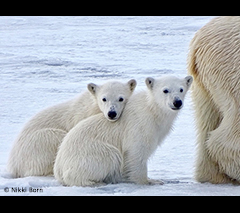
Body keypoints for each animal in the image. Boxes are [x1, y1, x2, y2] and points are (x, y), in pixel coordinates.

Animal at [7, 79, 137, 177]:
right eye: (104, 99)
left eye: (121, 98)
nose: (111, 113)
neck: (94, 106)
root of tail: (13, 164)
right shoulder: (82, 117)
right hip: (37, 143)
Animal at [54, 75, 193, 186]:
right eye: (165, 90)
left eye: (181, 89)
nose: (177, 102)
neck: (152, 111)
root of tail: (58, 168)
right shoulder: (139, 126)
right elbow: (137, 152)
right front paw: (149, 181)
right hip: (89, 153)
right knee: (110, 155)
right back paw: (96, 182)